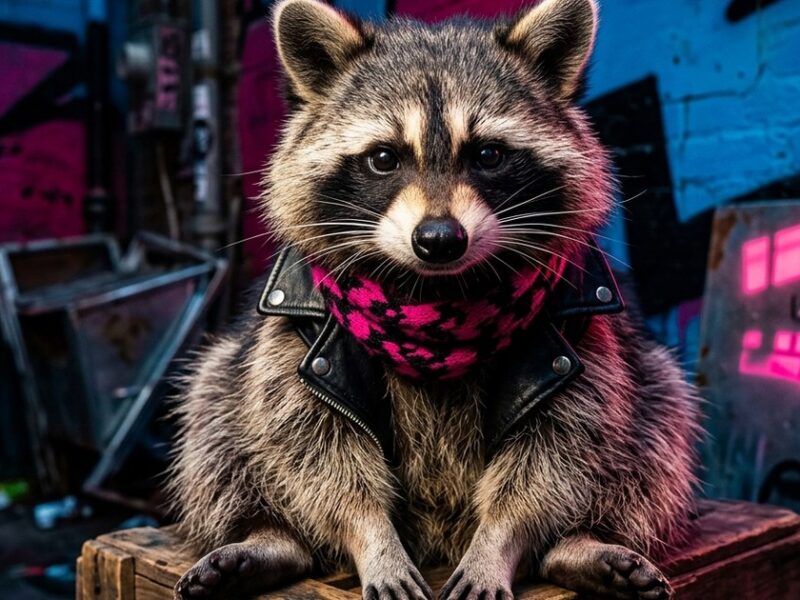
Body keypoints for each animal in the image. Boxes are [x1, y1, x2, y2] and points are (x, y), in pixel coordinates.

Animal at [169, 1, 700, 599]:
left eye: (489, 155)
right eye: (383, 158)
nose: (440, 238)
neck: (435, 298)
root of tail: (438, 538)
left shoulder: (578, 347)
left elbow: (560, 445)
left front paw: (499, 541)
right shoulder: (298, 343)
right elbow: (313, 441)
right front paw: (370, 537)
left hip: (647, 386)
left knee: (658, 428)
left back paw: (581, 542)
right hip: (230, 382)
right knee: (214, 415)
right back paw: (270, 535)